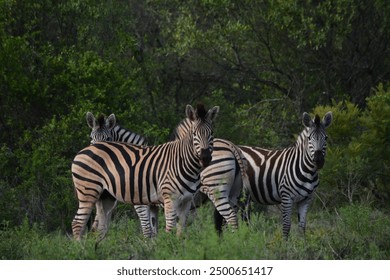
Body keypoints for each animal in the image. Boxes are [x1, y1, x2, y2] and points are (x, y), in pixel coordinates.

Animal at [72, 104, 219, 242]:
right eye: (91, 137)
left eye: (211, 133)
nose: (205, 158)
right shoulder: (147, 203)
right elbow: (151, 231)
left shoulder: (183, 201)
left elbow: (173, 232)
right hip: (90, 192)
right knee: (79, 223)